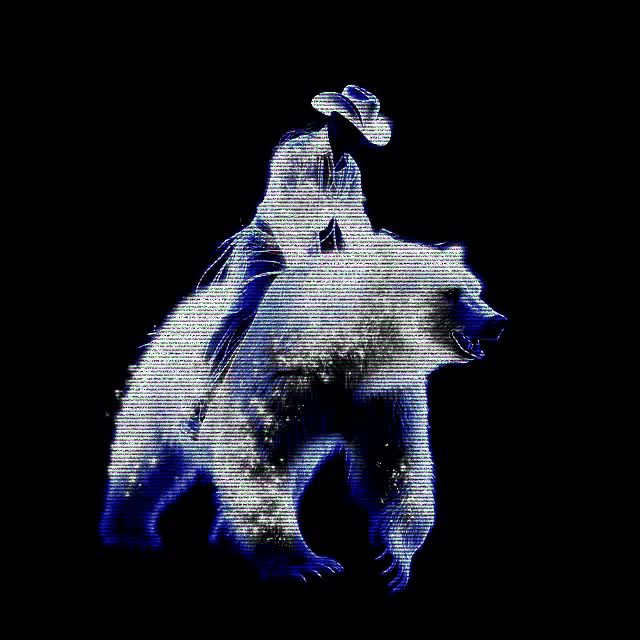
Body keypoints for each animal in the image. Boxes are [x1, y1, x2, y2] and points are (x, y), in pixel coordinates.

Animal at [100, 230, 506, 591]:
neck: (344, 355)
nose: (497, 322)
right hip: (166, 389)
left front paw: (393, 558)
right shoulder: (276, 381)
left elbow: (393, 463)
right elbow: (254, 462)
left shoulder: (382, 397)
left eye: (476, 288)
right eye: (452, 293)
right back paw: (129, 530)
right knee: (147, 459)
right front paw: (308, 565)